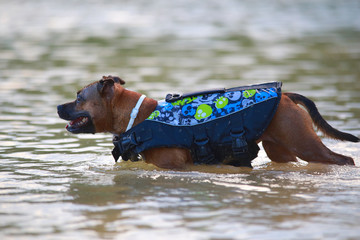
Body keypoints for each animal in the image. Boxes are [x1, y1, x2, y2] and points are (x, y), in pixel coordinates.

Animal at [57, 75, 358, 169]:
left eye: (79, 98)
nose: (59, 106)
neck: (137, 116)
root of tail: (286, 96)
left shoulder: (177, 166)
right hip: (281, 150)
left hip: (305, 144)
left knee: (344, 160)